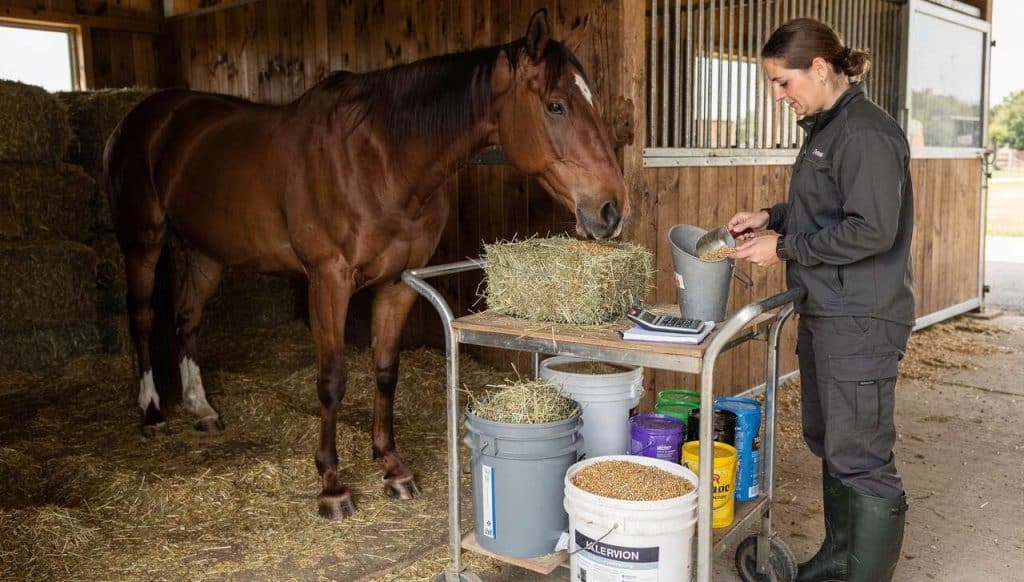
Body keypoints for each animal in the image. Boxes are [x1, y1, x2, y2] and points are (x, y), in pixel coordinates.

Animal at [104, 8, 629, 519]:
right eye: (556, 106)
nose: (611, 209)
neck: (380, 160)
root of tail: (142, 117)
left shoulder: (397, 284)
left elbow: (385, 371)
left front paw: (393, 468)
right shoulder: (327, 282)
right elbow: (332, 381)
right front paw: (332, 485)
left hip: (206, 253)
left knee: (187, 319)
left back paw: (201, 408)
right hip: (144, 242)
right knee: (144, 318)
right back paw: (153, 413)